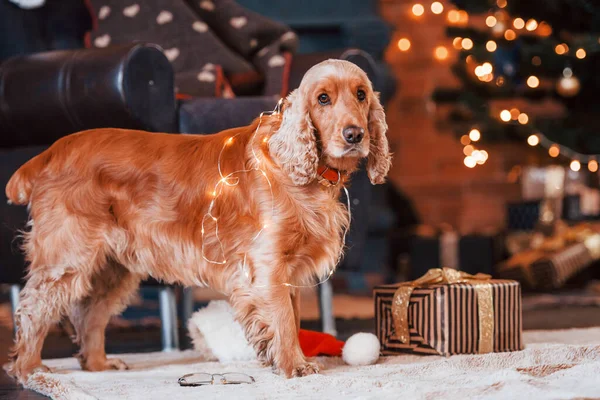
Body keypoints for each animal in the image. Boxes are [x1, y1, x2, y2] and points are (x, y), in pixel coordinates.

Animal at [4, 58, 392, 382]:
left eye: (361, 94)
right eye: (323, 99)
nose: (355, 135)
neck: (294, 168)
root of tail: (49, 153)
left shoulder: (286, 271)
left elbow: (293, 319)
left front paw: (288, 360)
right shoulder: (266, 266)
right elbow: (283, 319)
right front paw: (294, 366)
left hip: (112, 266)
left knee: (90, 314)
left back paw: (98, 364)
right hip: (67, 257)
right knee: (33, 309)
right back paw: (30, 370)